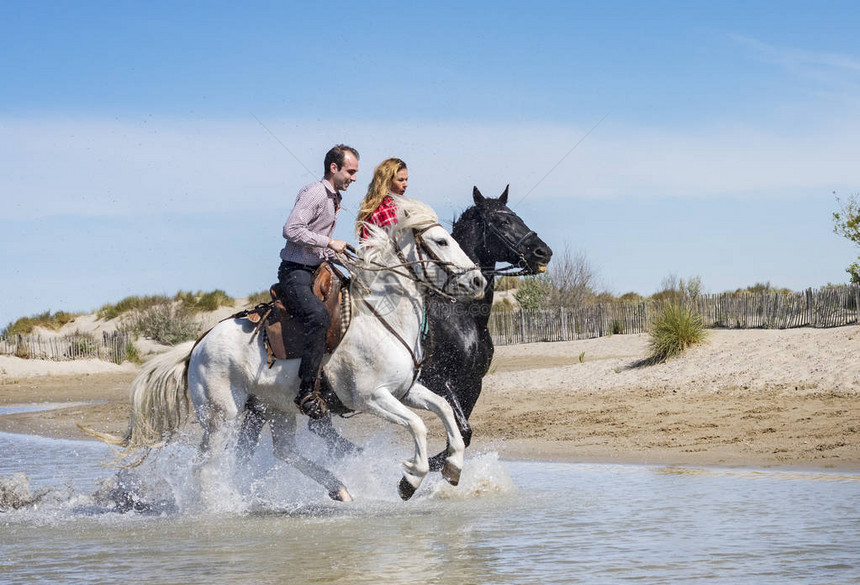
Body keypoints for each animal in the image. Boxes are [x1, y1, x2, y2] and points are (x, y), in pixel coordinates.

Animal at [87, 197, 490, 502]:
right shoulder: (372, 397)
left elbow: (445, 412)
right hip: (222, 417)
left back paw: (338, 488)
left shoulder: (406, 390)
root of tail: (197, 345)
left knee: (282, 452)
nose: (478, 280)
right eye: (440, 241)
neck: (383, 317)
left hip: (273, 409)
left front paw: (453, 467)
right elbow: (419, 426)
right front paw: (410, 480)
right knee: (206, 466)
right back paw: (219, 506)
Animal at [239, 185, 556, 468]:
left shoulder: (471, 382)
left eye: (516, 216)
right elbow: (462, 430)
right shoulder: (438, 378)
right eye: (502, 221)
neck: (458, 314)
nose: (543, 252)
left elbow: (460, 429)